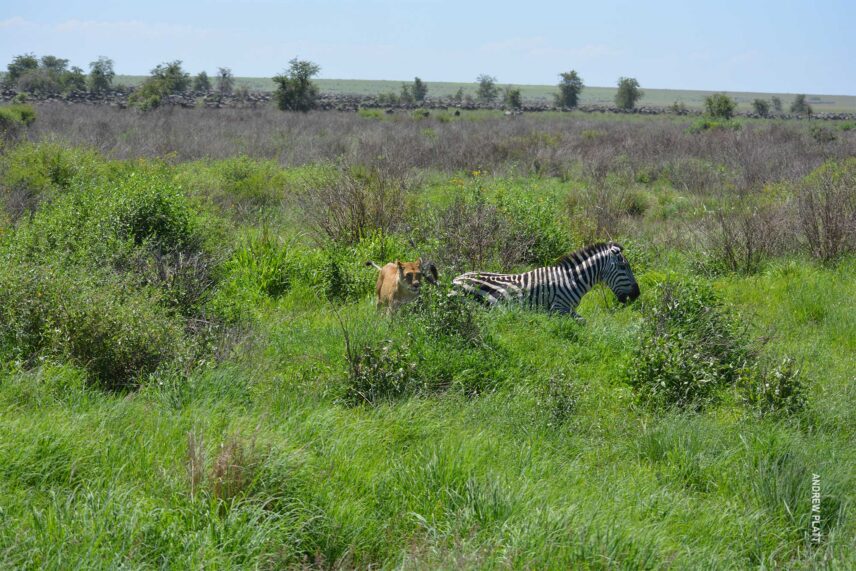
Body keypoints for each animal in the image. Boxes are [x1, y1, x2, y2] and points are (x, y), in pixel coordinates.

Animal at [452, 242, 640, 321]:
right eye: (623, 267)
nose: (637, 295)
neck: (571, 280)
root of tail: (455, 279)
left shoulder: (566, 309)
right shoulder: (559, 308)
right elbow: (581, 322)